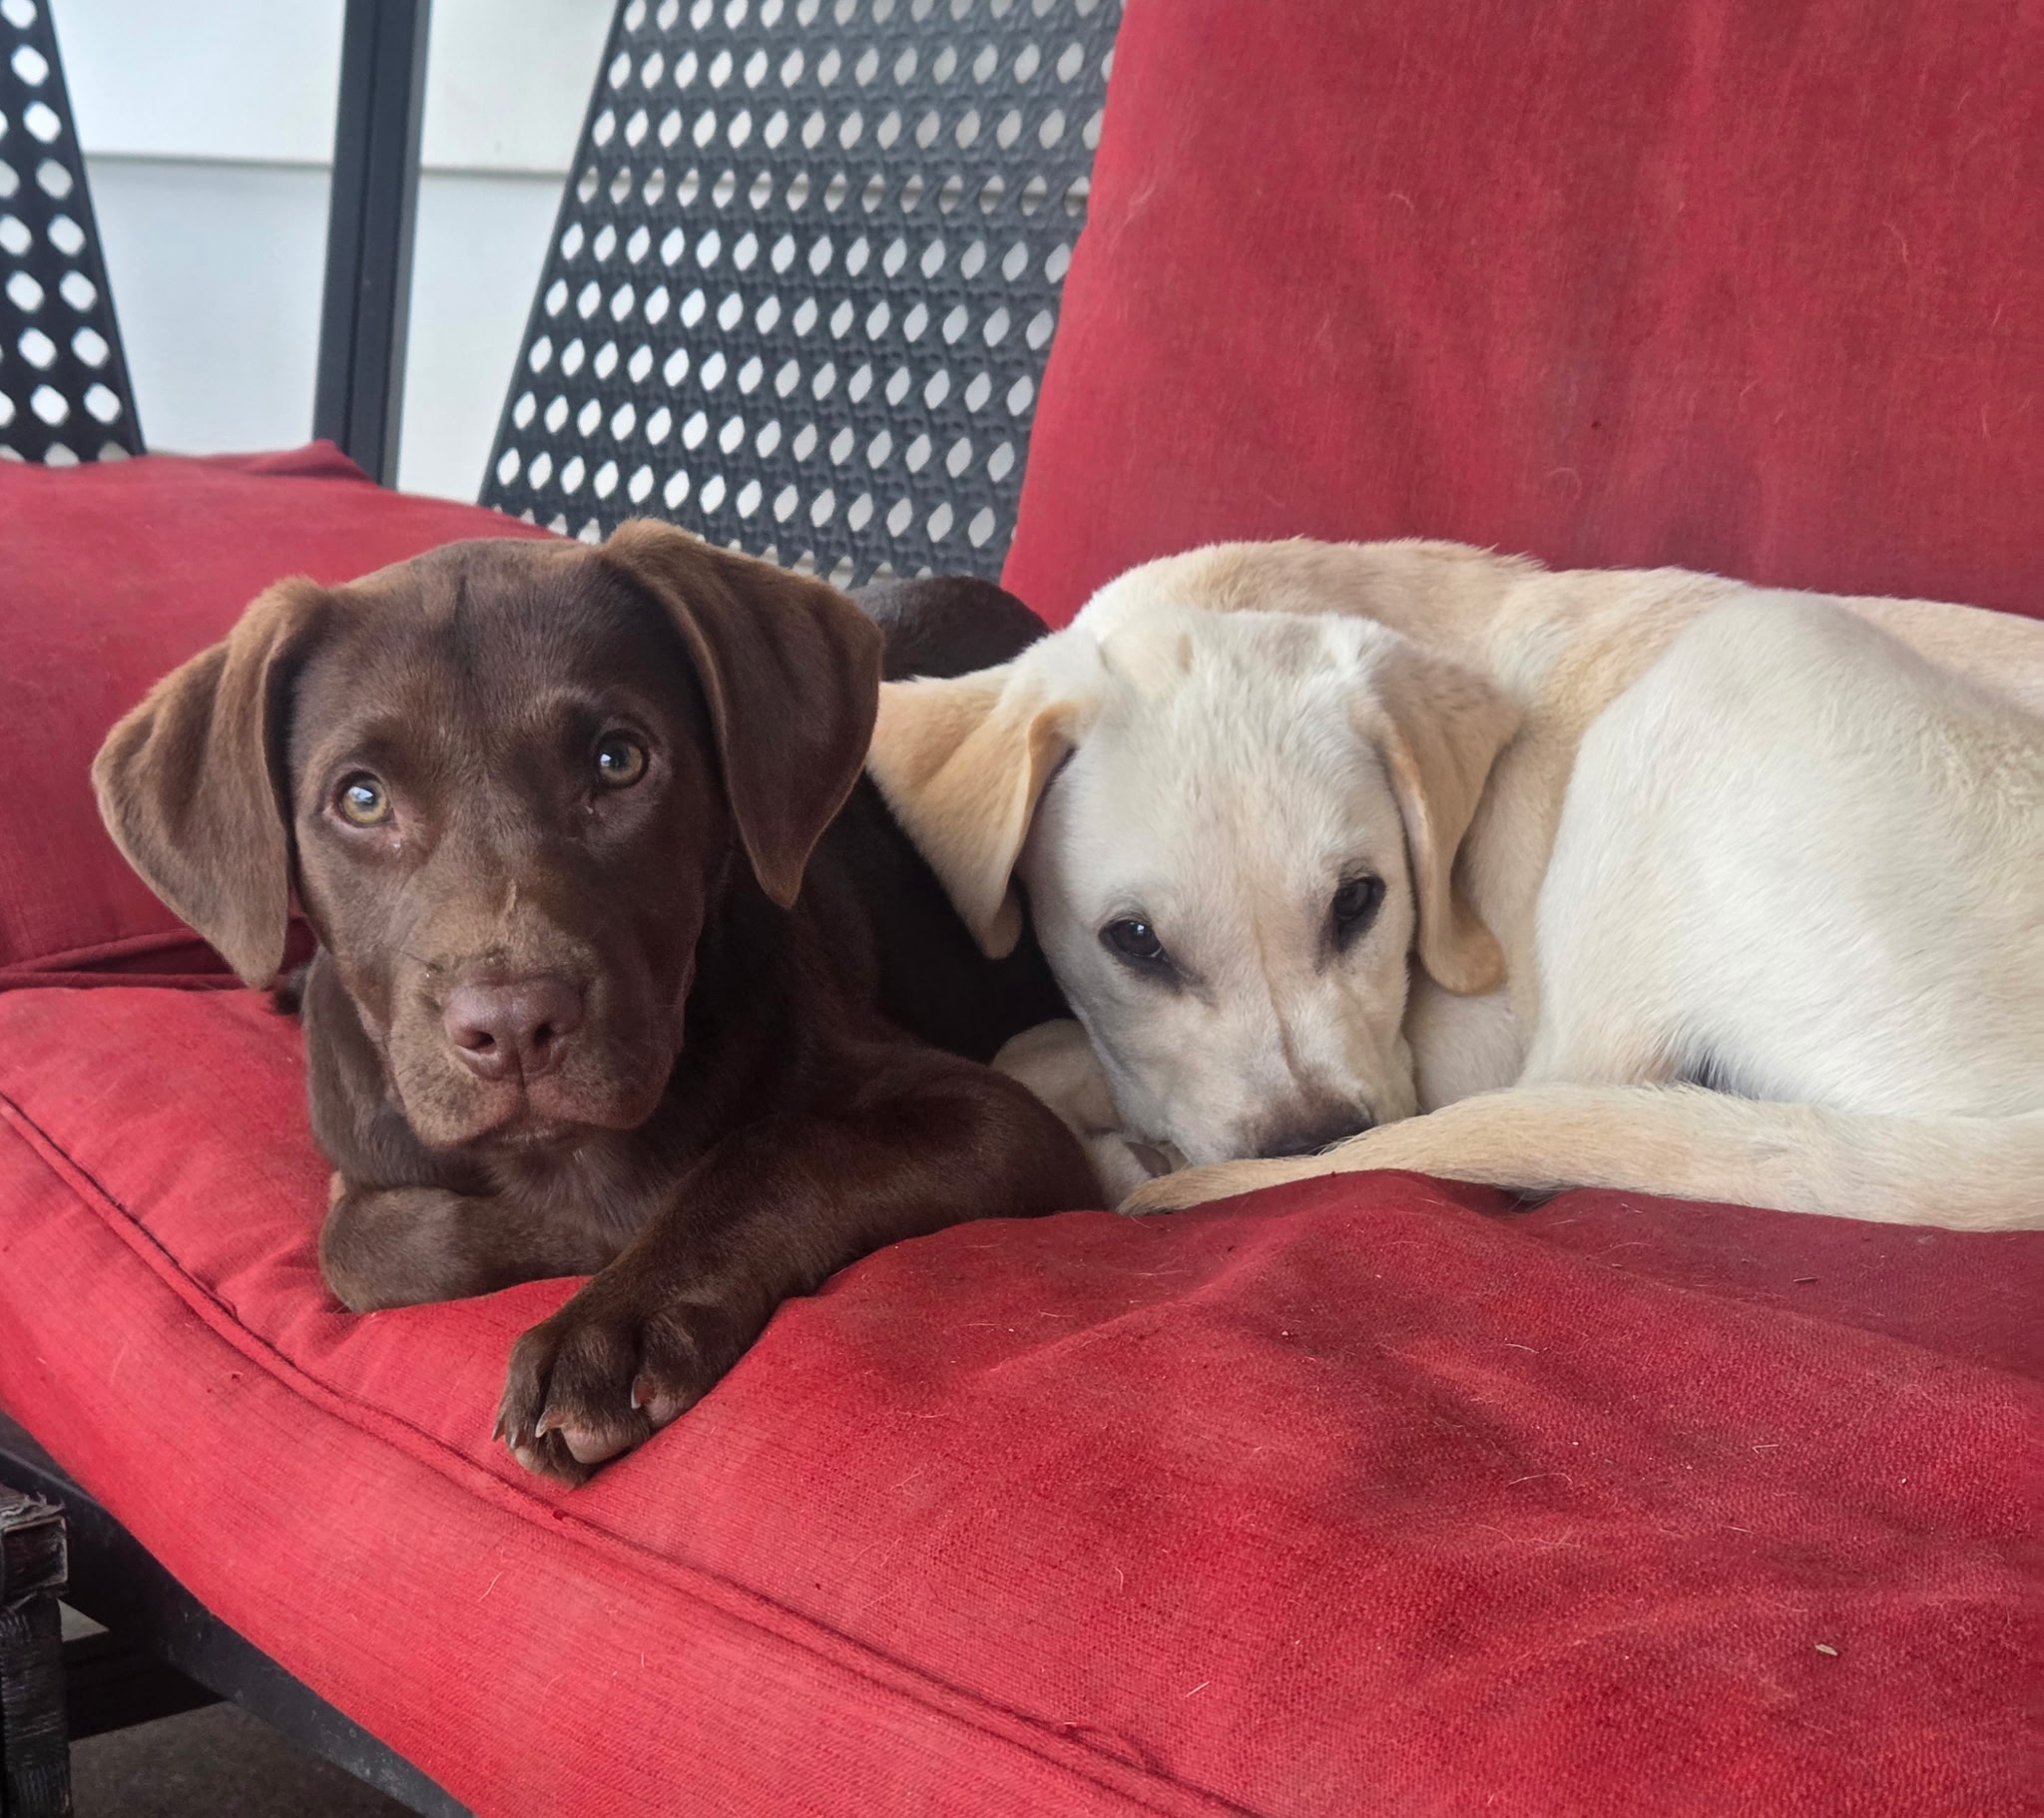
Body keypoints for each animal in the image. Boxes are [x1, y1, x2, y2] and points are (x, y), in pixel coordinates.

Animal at [94, 522, 1092, 1483]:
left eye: (620, 761)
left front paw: (612, 1325)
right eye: (362, 800)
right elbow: (360, 1246)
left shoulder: (1005, 1123)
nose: (512, 1029)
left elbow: (777, 1148)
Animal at [869, 538, 2044, 1231]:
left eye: (1359, 899)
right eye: (1135, 941)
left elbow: (1042, 1052)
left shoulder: (1450, 1051)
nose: (1310, 1141)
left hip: (1726, 674)